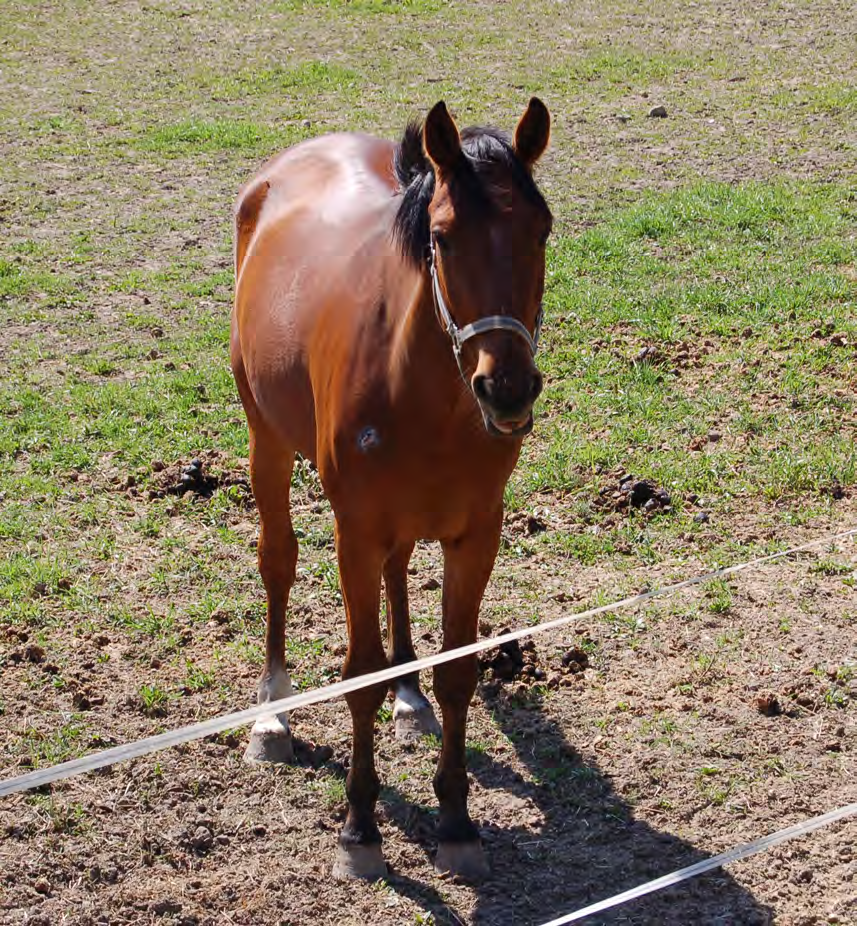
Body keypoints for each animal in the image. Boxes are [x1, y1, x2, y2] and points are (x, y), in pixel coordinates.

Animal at [231, 98, 552, 880]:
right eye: (441, 236)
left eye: (541, 230)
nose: (506, 389)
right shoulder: (355, 530)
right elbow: (360, 675)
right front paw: (359, 829)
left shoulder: (476, 531)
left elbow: (458, 670)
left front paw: (458, 821)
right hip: (265, 439)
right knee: (277, 561)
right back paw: (272, 714)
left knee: (400, 570)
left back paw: (410, 699)